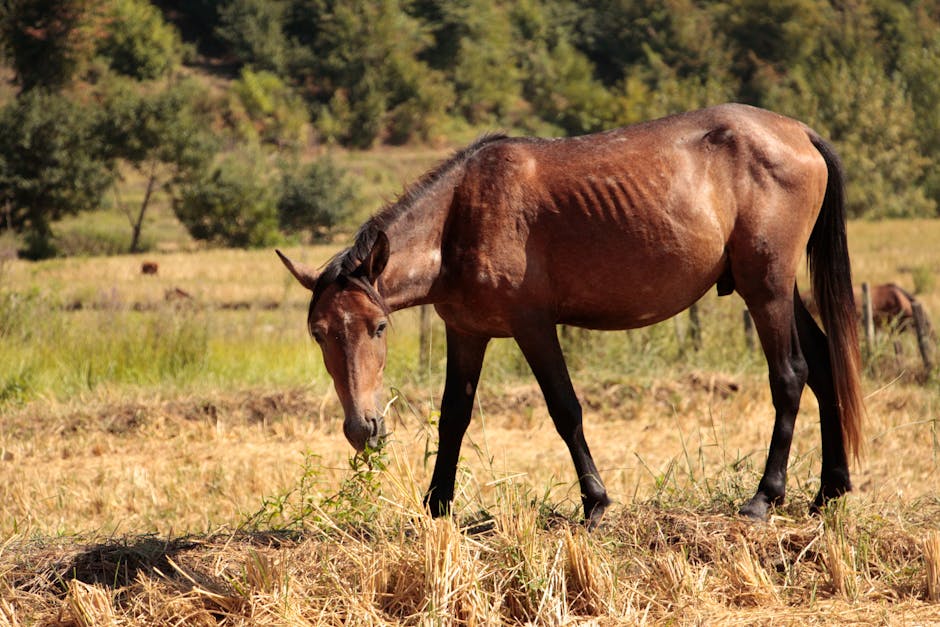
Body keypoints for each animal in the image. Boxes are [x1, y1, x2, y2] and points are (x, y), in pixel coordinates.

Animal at [280, 105, 868, 528]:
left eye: (378, 328)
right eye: (319, 334)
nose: (363, 428)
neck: (461, 217)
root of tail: (799, 133)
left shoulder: (533, 327)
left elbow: (566, 411)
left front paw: (596, 503)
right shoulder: (466, 332)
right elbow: (454, 417)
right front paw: (436, 507)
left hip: (765, 288)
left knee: (790, 375)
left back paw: (764, 498)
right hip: (778, 289)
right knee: (822, 366)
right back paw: (830, 490)